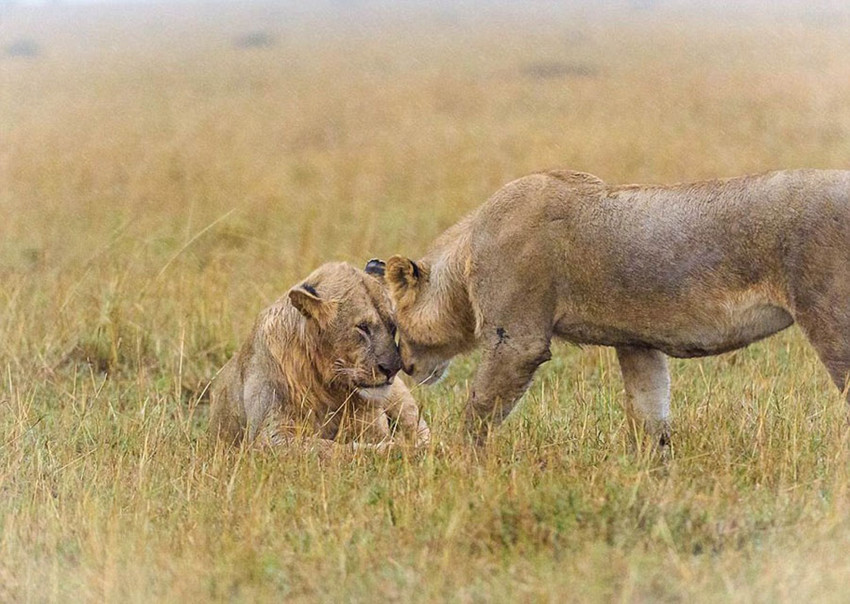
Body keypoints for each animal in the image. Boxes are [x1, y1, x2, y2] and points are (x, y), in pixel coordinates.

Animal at [206, 260, 430, 452]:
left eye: (392, 326)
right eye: (363, 328)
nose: (393, 368)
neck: (329, 386)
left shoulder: (373, 425)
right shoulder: (268, 436)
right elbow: (327, 448)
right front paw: (395, 448)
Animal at [382, 170, 848, 448]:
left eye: (395, 324)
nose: (404, 365)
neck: (465, 256)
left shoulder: (517, 341)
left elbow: (478, 410)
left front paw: (454, 461)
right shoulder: (637, 342)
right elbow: (649, 413)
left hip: (831, 317)